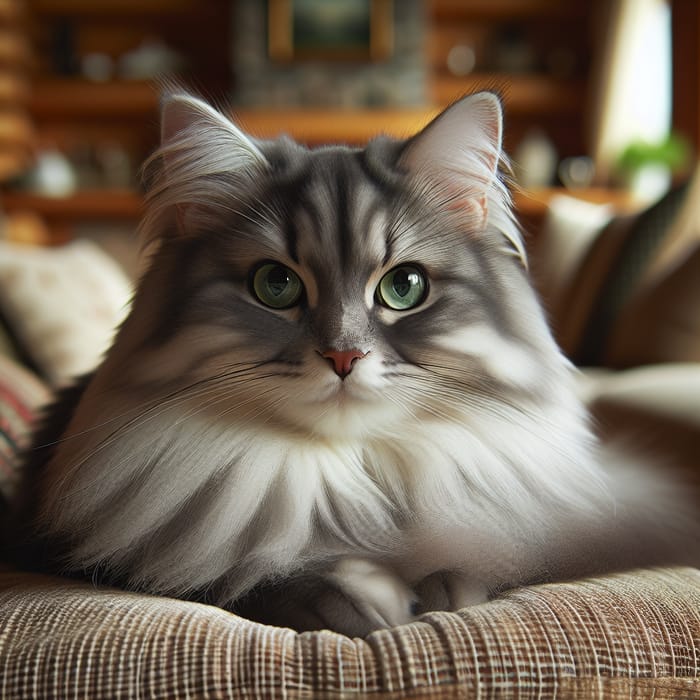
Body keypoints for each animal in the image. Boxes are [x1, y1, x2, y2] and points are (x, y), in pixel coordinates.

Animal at [6, 91, 700, 636]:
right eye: (276, 285)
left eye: (404, 287)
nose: (343, 355)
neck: (351, 477)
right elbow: (254, 579)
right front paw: (364, 601)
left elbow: (472, 570)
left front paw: (443, 596)